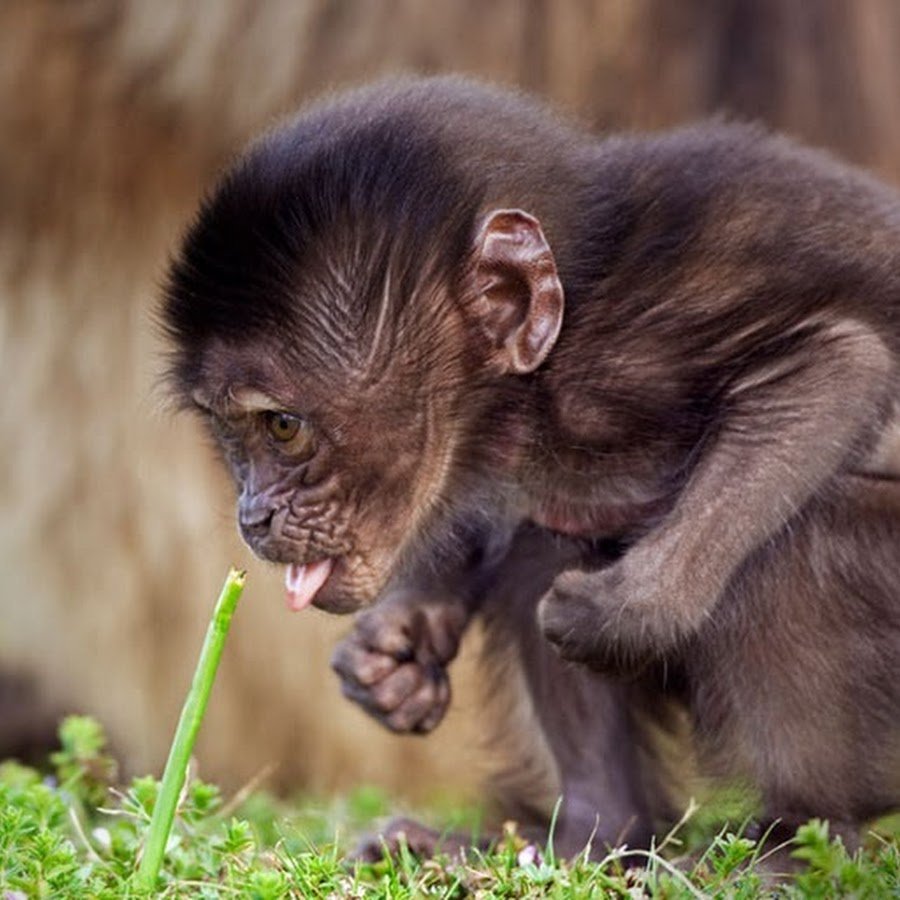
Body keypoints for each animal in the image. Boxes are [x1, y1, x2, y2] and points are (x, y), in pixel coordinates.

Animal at [163, 76, 900, 857]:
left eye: (283, 427)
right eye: (229, 434)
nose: (254, 514)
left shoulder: (637, 346)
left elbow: (837, 361)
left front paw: (631, 607)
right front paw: (399, 642)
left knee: (792, 547)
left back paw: (796, 845)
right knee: (546, 546)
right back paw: (591, 835)